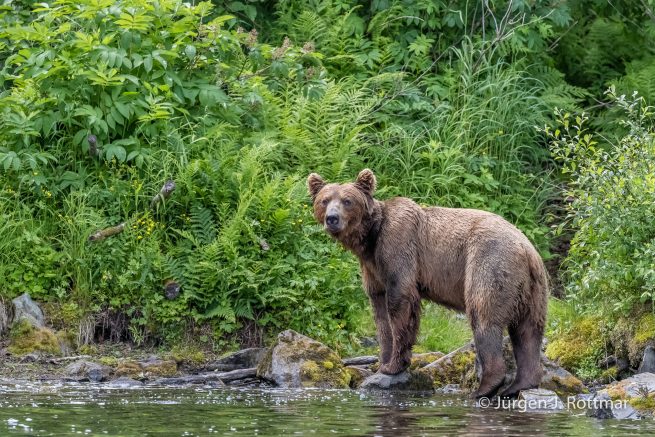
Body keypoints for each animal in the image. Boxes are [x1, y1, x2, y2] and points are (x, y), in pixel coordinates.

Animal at [307, 168, 548, 399]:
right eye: (324, 200)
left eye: (347, 200)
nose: (332, 218)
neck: (371, 239)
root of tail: (527, 249)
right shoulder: (373, 271)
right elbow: (380, 316)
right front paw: (383, 364)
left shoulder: (399, 249)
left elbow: (400, 303)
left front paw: (395, 365)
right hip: (532, 290)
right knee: (528, 332)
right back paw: (518, 385)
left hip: (489, 264)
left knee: (483, 315)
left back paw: (485, 387)